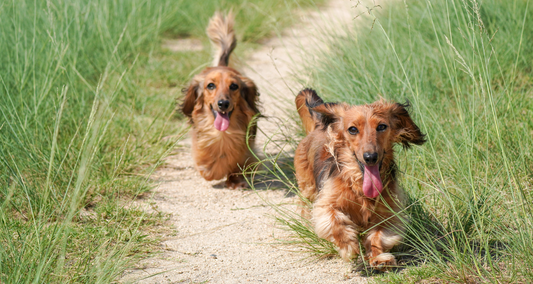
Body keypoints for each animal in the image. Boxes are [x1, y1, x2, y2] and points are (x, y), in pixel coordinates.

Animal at [181, 12, 260, 190]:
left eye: (234, 86)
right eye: (210, 85)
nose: (223, 104)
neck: (222, 134)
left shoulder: (245, 148)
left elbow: (239, 162)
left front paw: (235, 180)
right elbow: (207, 165)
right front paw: (212, 170)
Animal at [294, 88, 426, 270]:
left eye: (382, 126)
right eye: (353, 129)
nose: (370, 157)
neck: (358, 185)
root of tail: (320, 125)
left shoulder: (388, 213)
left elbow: (378, 236)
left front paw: (378, 258)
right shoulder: (326, 204)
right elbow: (335, 221)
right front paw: (349, 246)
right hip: (308, 188)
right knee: (304, 203)